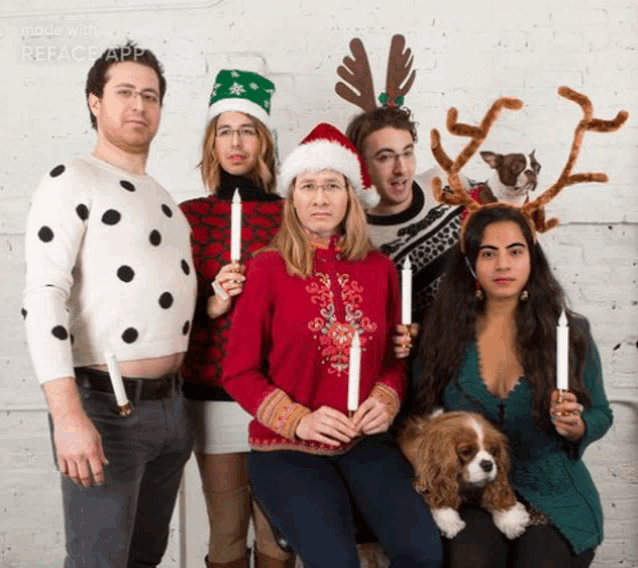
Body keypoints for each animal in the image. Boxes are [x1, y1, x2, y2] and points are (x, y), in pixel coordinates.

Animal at [400, 410, 528, 540]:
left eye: (492, 450)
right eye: (466, 451)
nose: (488, 464)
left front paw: (510, 517)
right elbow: (435, 493)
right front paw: (448, 518)